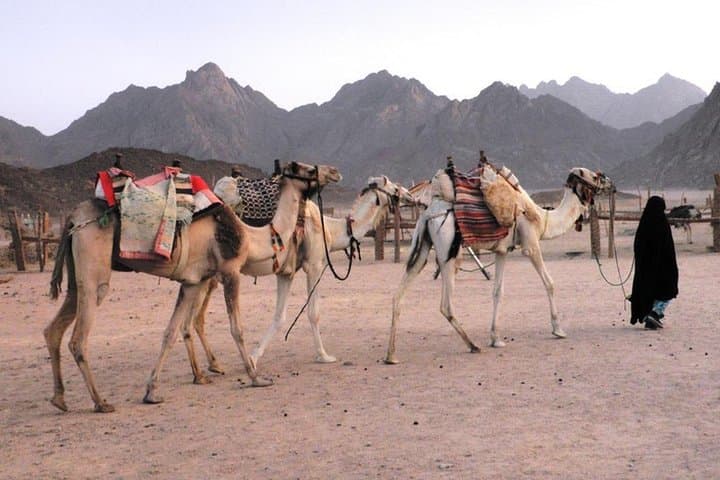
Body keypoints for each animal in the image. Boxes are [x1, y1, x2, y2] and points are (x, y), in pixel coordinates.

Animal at [44, 161, 341, 412]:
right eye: (306, 168)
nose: (334, 171)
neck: (251, 237)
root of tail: (73, 218)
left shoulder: (191, 282)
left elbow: (170, 333)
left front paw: (151, 392)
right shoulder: (230, 271)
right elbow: (237, 329)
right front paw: (255, 376)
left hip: (77, 278)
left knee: (53, 329)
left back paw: (59, 399)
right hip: (94, 273)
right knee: (78, 338)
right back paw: (100, 402)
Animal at [182, 176, 414, 384]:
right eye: (394, 187)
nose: (410, 195)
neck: (331, 231)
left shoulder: (286, 272)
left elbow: (279, 316)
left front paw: (254, 358)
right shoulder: (314, 265)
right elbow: (313, 313)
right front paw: (324, 355)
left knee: (196, 317)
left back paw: (212, 366)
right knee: (195, 316)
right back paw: (205, 369)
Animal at [385, 167, 613, 364]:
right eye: (595, 176)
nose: (611, 184)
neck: (542, 218)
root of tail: (428, 212)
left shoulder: (502, 251)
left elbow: (497, 291)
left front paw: (496, 338)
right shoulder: (531, 244)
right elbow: (549, 283)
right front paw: (558, 330)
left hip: (422, 244)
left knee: (398, 295)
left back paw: (391, 356)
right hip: (448, 250)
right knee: (445, 304)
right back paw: (473, 345)